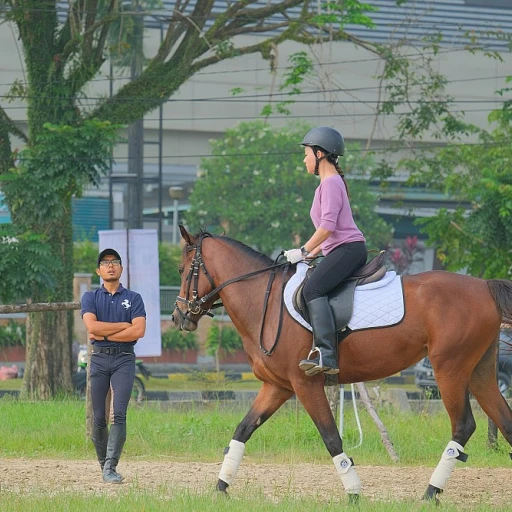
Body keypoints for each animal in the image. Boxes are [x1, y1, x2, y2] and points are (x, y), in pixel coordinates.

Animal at [172, 226, 512, 502]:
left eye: (182, 270)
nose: (179, 317)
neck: (263, 300)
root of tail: (484, 286)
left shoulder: (306, 384)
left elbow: (331, 437)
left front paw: (354, 492)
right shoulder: (277, 386)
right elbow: (243, 430)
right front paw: (220, 488)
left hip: (450, 370)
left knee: (463, 425)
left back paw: (430, 492)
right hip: (479, 373)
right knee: (505, 421)